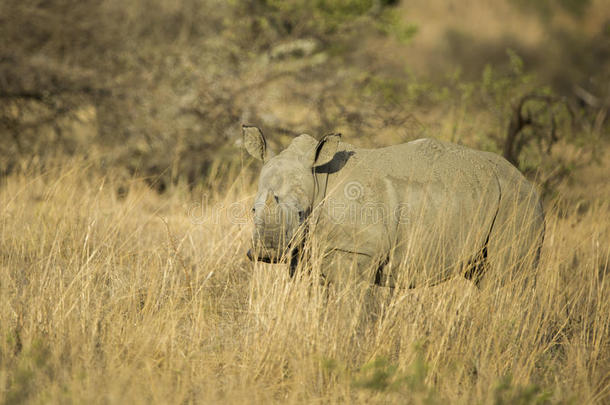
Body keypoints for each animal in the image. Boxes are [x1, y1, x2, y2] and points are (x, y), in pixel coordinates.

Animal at [243, 124, 548, 286]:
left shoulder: (356, 253)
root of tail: (530, 185)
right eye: (253, 210)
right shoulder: (306, 253)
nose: (267, 253)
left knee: (509, 279)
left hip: (518, 203)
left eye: (301, 213)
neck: (319, 179)